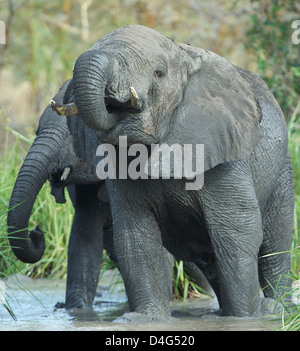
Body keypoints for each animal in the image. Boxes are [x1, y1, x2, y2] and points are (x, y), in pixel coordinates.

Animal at [49, 23, 296, 318]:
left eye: (159, 72)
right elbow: (135, 236)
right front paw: (143, 319)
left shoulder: (224, 152)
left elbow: (236, 232)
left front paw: (247, 318)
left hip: (282, 171)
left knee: (275, 245)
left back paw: (277, 309)